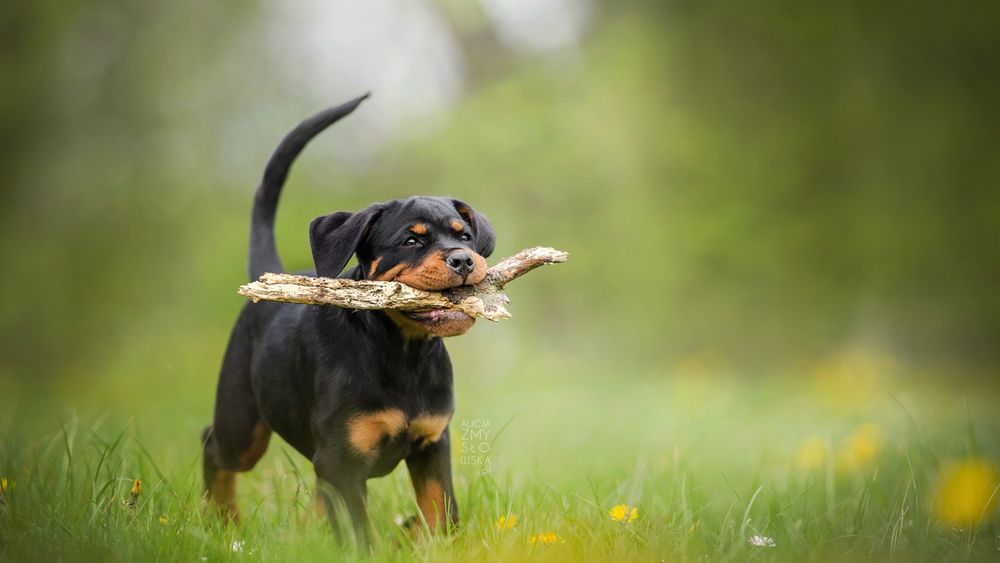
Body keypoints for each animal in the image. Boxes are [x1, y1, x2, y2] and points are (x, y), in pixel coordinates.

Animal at [204, 94, 496, 540]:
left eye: (464, 235)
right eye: (411, 241)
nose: (464, 260)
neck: (404, 352)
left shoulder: (432, 443)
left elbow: (441, 511)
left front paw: (427, 539)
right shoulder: (341, 458)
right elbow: (360, 531)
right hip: (242, 423)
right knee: (214, 446)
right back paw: (220, 520)